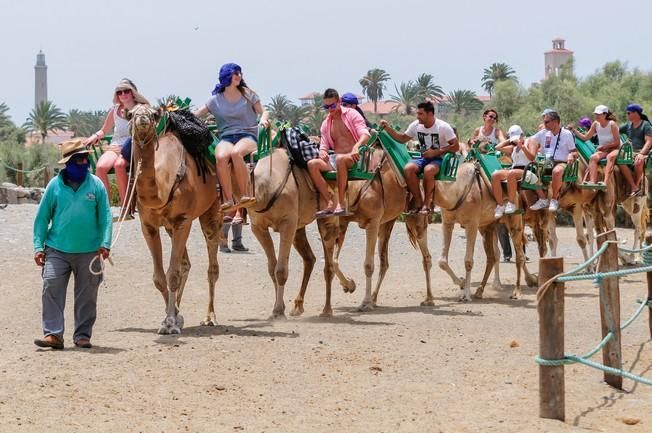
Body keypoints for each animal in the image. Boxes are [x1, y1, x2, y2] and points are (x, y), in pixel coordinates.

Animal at [129, 105, 223, 334]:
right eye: (130, 113)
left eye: (153, 114)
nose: (142, 118)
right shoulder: (148, 226)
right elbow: (159, 277)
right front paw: (172, 317)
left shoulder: (183, 220)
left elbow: (172, 274)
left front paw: (170, 323)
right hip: (170, 227)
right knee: (185, 264)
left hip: (211, 211)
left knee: (212, 267)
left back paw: (210, 317)